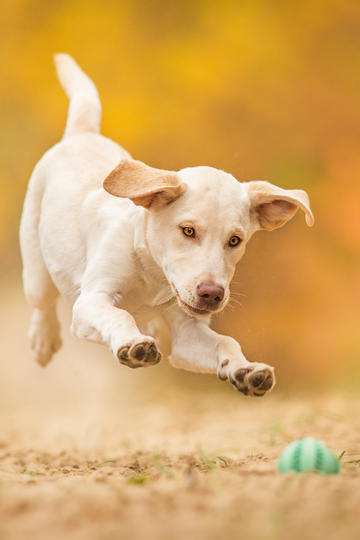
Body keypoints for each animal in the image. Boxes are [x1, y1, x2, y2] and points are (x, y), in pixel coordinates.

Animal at [19, 54, 314, 396]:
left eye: (235, 240)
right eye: (187, 230)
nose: (212, 294)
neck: (153, 277)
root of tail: (82, 133)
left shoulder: (186, 333)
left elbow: (226, 342)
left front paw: (245, 370)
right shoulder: (90, 302)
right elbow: (118, 315)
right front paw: (132, 344)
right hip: (36, 272)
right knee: (42, 303)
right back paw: (43, 340)